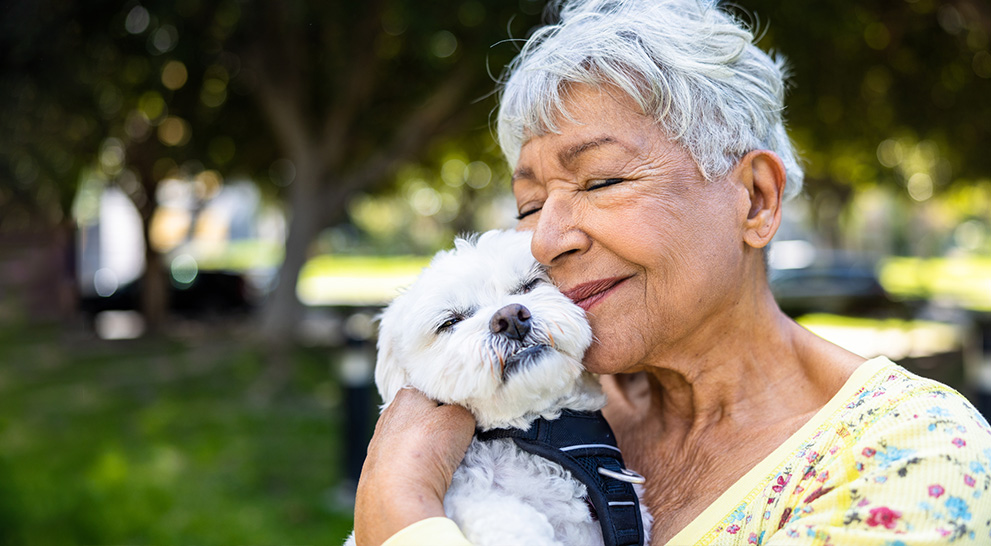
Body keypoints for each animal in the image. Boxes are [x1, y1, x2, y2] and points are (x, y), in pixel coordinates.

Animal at [348, 230, 652, 544]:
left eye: (529, 284)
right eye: (450, 321)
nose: (511, 316)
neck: (529, 427)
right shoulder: (470, 501)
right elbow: (506, 518)